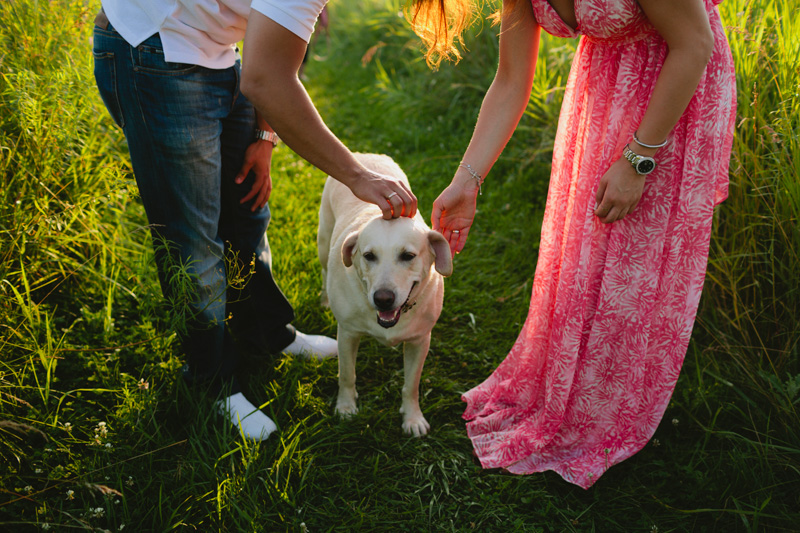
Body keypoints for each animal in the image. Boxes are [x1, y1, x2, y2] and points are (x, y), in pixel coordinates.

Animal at [320, 152, 456, 434]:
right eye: (369, 256)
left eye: (408, 256)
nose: (383, 299)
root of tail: (364, 154)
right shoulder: (347, 334)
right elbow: (347, 374)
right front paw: (346, 408)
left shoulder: (420, 341)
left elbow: (411, 384)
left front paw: (412, 418)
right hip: (323, 240)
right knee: (324, 268)